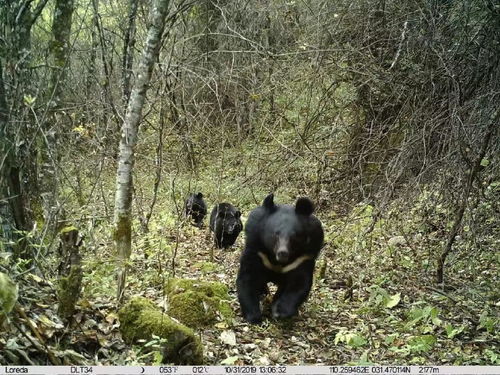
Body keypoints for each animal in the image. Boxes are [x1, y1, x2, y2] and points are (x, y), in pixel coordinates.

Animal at [235, 194, 322, 324]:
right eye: (276, 233)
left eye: (294, 236)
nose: (283, 253)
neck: (277, 261)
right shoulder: (257, 251)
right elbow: (248, 278)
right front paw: (254, 316)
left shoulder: (302, 258)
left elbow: (299, 284)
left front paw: (280, 312)